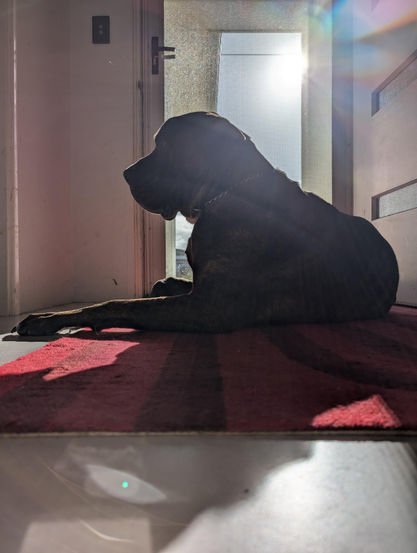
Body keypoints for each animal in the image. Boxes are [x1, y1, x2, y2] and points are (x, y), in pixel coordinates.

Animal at [12, 113, 396, 336]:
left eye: (164, 145)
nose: (125, 173)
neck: (228, 190)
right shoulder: (201, 293)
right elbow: (156, 290)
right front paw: (166, 282)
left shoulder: (209, 307)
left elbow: (116, 304)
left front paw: (50, 318)